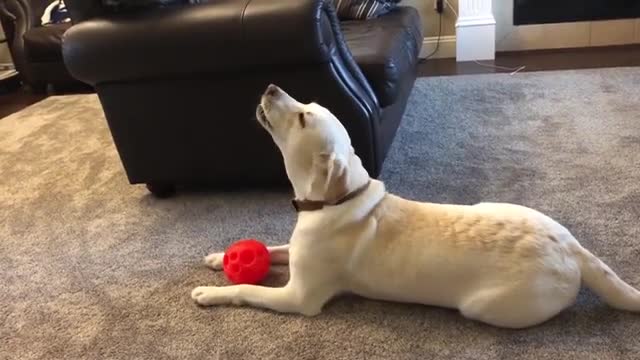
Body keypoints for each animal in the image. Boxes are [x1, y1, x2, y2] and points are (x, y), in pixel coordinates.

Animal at [191, 84, 640, 330]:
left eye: (303, 118)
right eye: (307, 106)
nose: (270, 87)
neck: (334, 200)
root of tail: (572, 249)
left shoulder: (299, 297)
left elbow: (248, 289)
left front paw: (210, 292)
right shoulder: (295, 252)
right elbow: (271, 249)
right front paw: (218, 258)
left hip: (485, 306)